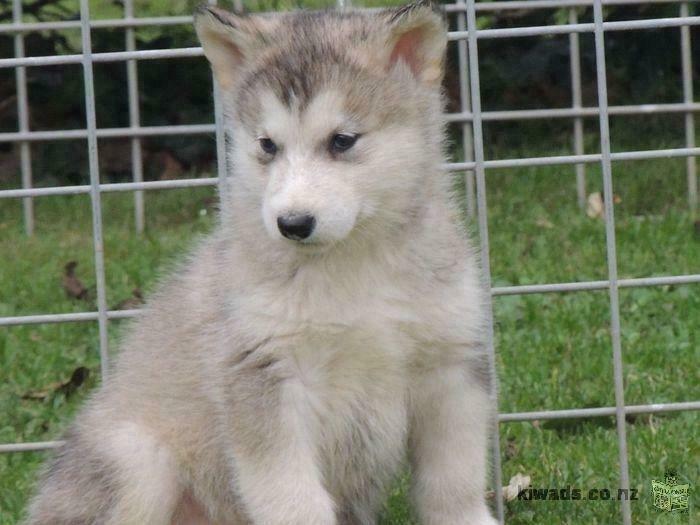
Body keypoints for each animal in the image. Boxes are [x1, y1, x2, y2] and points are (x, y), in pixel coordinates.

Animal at [27, 4, 494, 524]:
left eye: (343, 140)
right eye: (267, 145)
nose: (292, 223)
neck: (352, 265)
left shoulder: (450, 365)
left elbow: (453, 481)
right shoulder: (264, 378)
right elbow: (294, 499)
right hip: (135, 458)